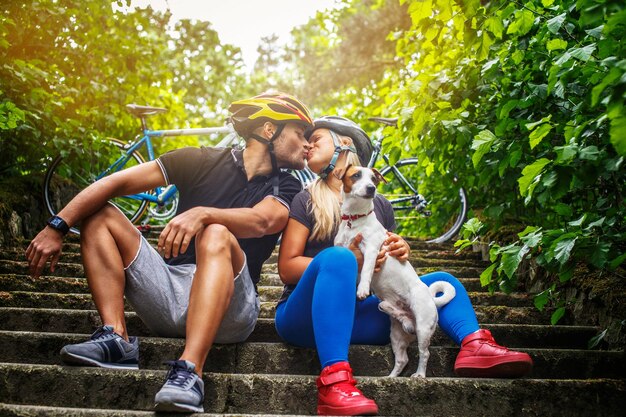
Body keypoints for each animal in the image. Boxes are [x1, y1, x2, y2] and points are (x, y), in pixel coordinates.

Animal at [334, 166, 450, 376]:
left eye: (374, 179)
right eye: (356, 175)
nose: (371, 188)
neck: (355, 218)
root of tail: (431, 298)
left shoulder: (372, 250)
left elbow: (366, 271)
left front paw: (362, 290)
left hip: (423, 327)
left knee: (425, 353)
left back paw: (419, 375)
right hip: (397, 335)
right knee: (402, 359)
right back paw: (392, 376)